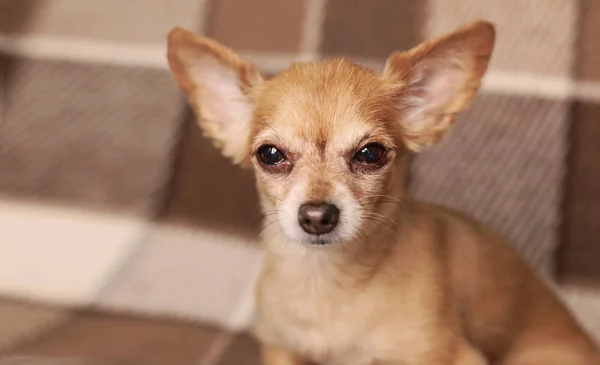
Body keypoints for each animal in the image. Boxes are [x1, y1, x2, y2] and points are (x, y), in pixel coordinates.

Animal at [165, 22, 600, 364]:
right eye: (270, 155)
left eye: (370, 153)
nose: (317, 215)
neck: (329, 283)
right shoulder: (282, 351)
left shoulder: (448, 357)